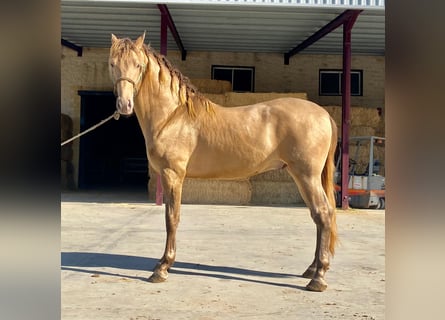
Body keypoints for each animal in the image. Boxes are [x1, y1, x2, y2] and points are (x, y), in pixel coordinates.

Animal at [107, 33, 336, 292]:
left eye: (138, 65)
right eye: (112, 64)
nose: (124, 106)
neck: (172, 116)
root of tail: (323, 114)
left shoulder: (172, 174)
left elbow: (171, 218)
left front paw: (163, 268)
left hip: (306, 175)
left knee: (323, 214)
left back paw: (318, 278)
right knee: (318, 216)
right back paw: (312, 269)